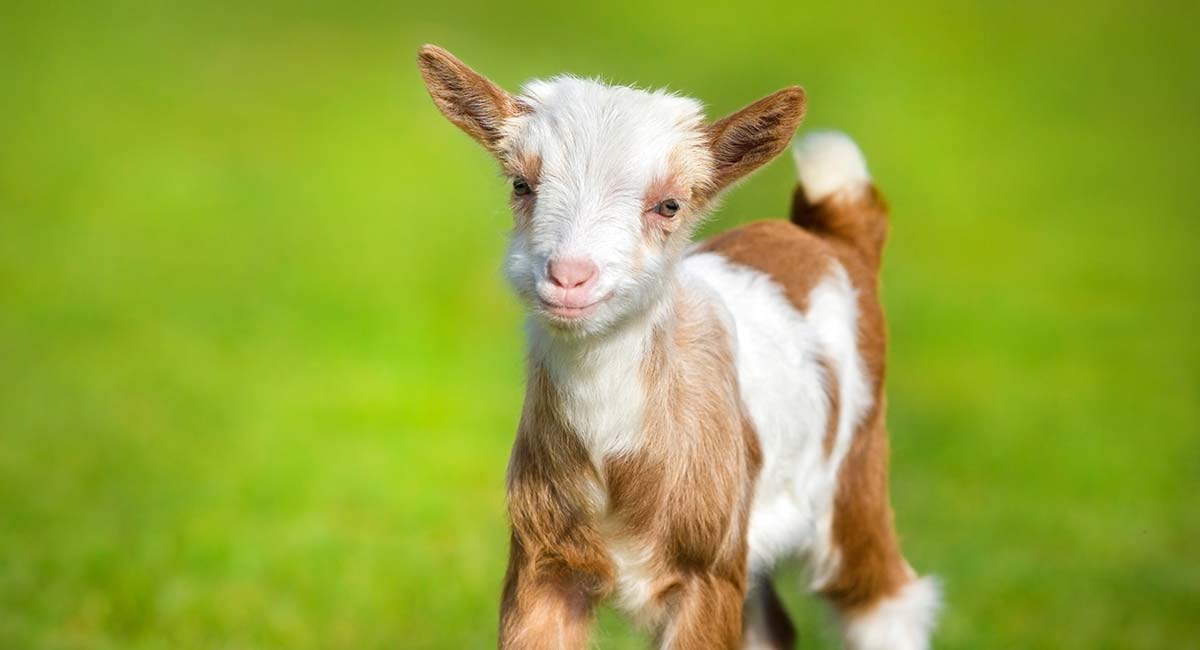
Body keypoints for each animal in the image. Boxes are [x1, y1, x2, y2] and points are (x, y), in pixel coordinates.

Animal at [420, 43, 936, 647]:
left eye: (669, 205)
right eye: (521, 185)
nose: (569, 276)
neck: (615, 463)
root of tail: (832, 235)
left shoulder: (707, 571)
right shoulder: (542, 560)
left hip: (855, 467)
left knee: (883, 595)